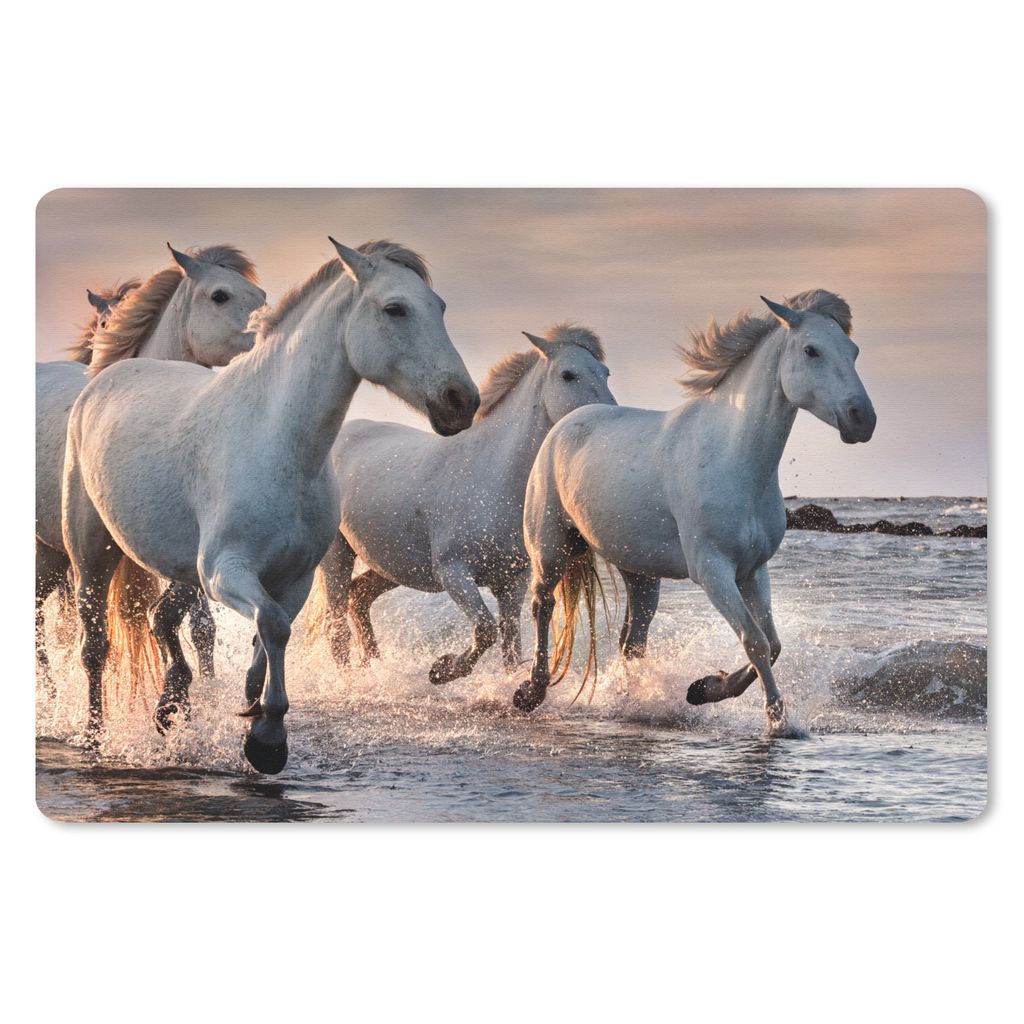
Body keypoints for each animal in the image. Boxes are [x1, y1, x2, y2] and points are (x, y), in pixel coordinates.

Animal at [63, 238, 479, 774]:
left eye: (439, 307)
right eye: (395, 308)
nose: (461, 401)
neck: (277, 444)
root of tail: (106, 376)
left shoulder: (292, 578)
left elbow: (272, 629)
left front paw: (251, 704)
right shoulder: (227, 571)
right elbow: (274, 626)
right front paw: (267, 737)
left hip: (178, 568)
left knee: (162, 619)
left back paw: (171, 706)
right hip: (91, 554)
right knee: (95, 645)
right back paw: (95, 736)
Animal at [310, 323, 615, 685]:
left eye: (605, 372)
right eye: (569, 374)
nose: (605, 416)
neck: (492, 476)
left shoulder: (512, 583)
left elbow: (510, 645)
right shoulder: (454, 574)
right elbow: (485, 630)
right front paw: (442, 670)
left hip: (391, 563)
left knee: (358, 597)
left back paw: (374, 666)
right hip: (337, 556)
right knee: (336, 626)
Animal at [512, 291, 877, 732]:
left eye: (853, 351)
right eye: (811, 350)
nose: (863, 420)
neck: (732, 458)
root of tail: (565, 424)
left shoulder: (753, 570)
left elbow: (772, 644)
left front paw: (704, 689)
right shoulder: (713, 570)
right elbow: (755, 640)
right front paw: (777, 721)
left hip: (639, 572)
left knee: (632, 640)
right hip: (551, 550)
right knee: (542, 606)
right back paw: (530, 692)